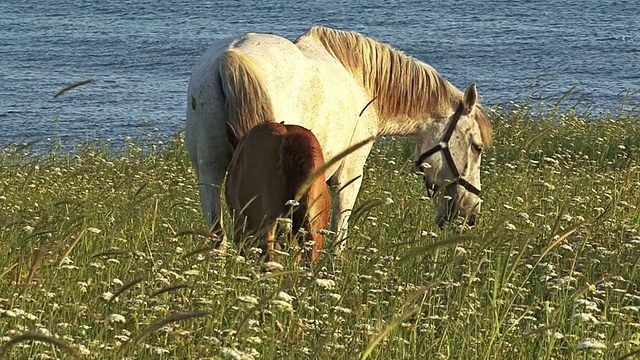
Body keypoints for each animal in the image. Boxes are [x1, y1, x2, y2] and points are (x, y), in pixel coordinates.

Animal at [186, 26, 496, 243]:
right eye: (477, 147)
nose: (471, 214)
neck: (362, 81)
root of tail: (228, 57)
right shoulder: (349, 175)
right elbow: (339, 230)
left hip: (209, 174)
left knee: (218, 234)